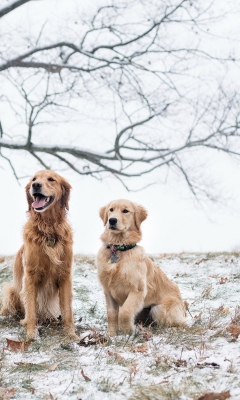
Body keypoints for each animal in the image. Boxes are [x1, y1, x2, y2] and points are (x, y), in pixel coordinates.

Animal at [1, 170, 79, 340]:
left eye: (51, 179)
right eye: (33, 179)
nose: (36, 185)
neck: (48, 229)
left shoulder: (65, 275)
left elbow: (67, 311)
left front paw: (71, 334)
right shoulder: (30, 276)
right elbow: (31, 310)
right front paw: (31, 334)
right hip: (11, 290)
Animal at [96, 198, 187, 336]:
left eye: (125, 211)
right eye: (111, 210)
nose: (112, 220)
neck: (119, 248)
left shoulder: (137, 290)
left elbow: (125, 312)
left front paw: (127, 332)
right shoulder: (108, 290)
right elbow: (111, 314)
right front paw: (111, 335)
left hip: (158, 309)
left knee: (181, 323)